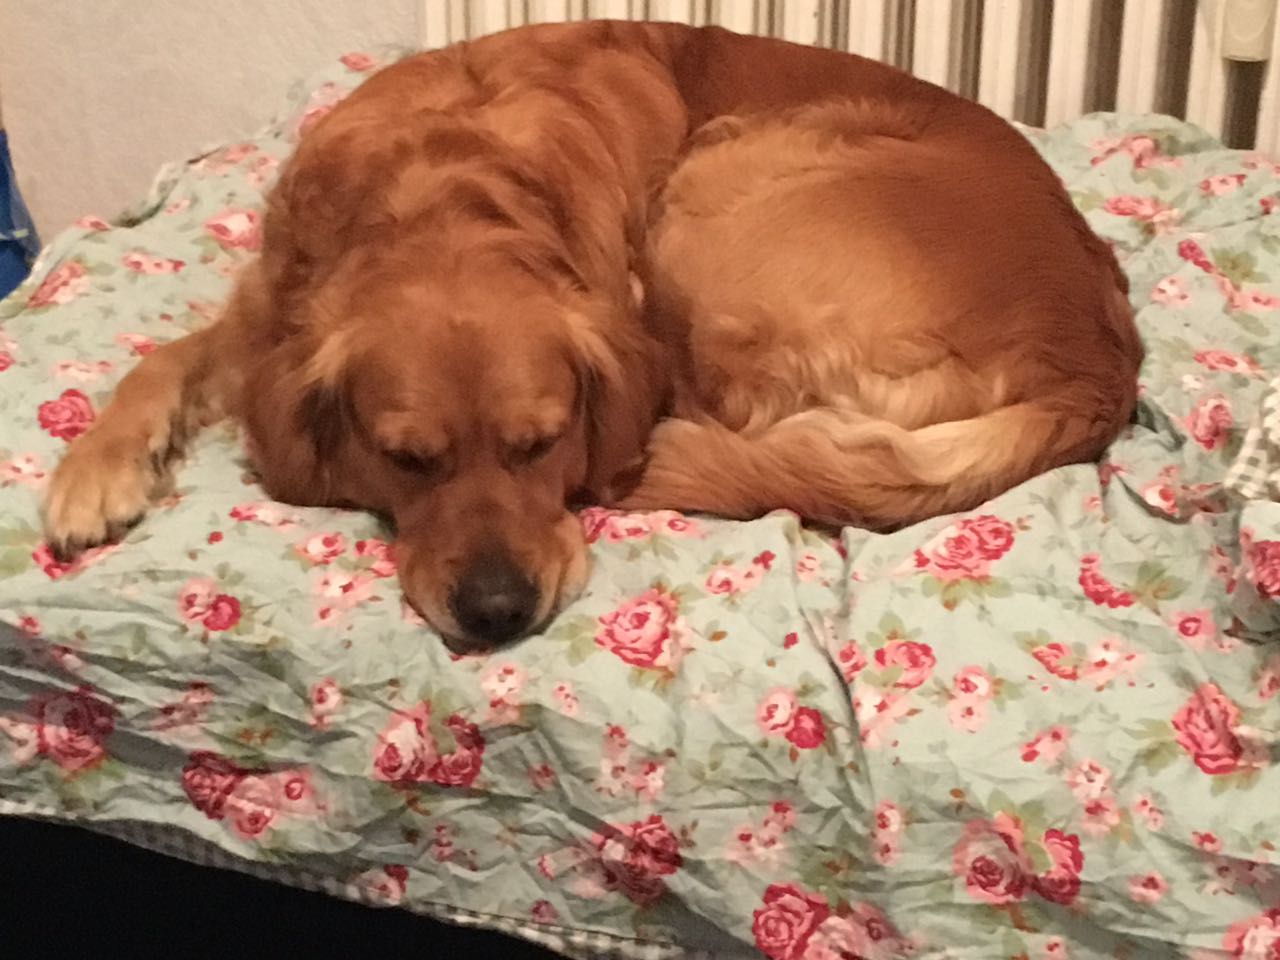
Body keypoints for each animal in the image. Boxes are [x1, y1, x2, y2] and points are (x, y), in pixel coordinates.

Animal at [41, 21, 1142, 653]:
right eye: (406, 460)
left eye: (544, 442)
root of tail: (1100, 363)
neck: (437, 190)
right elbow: (161, 360)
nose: (496, 616)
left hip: (718, 184)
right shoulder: (267, 312)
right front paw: (94, 472)